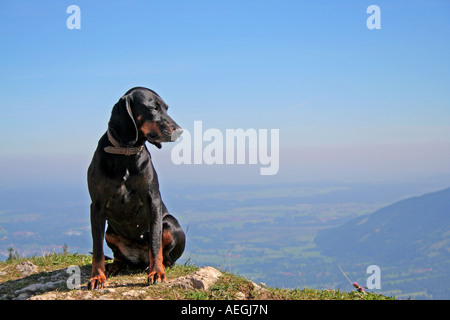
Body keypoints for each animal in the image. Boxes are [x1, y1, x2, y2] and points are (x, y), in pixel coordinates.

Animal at [87, 86, 185, 288]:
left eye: (166, 108)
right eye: (154, 108)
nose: (179, 131)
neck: (126, 152)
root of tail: (139, 259)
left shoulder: (152, 199)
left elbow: (155, 242)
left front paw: (157, 273)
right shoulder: (97, 206)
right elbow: (97, 247)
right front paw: (97, 276)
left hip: (170, 224)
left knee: (167, 257)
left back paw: (155, 266)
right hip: (110, 232)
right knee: (118, 256)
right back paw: (114, 266)